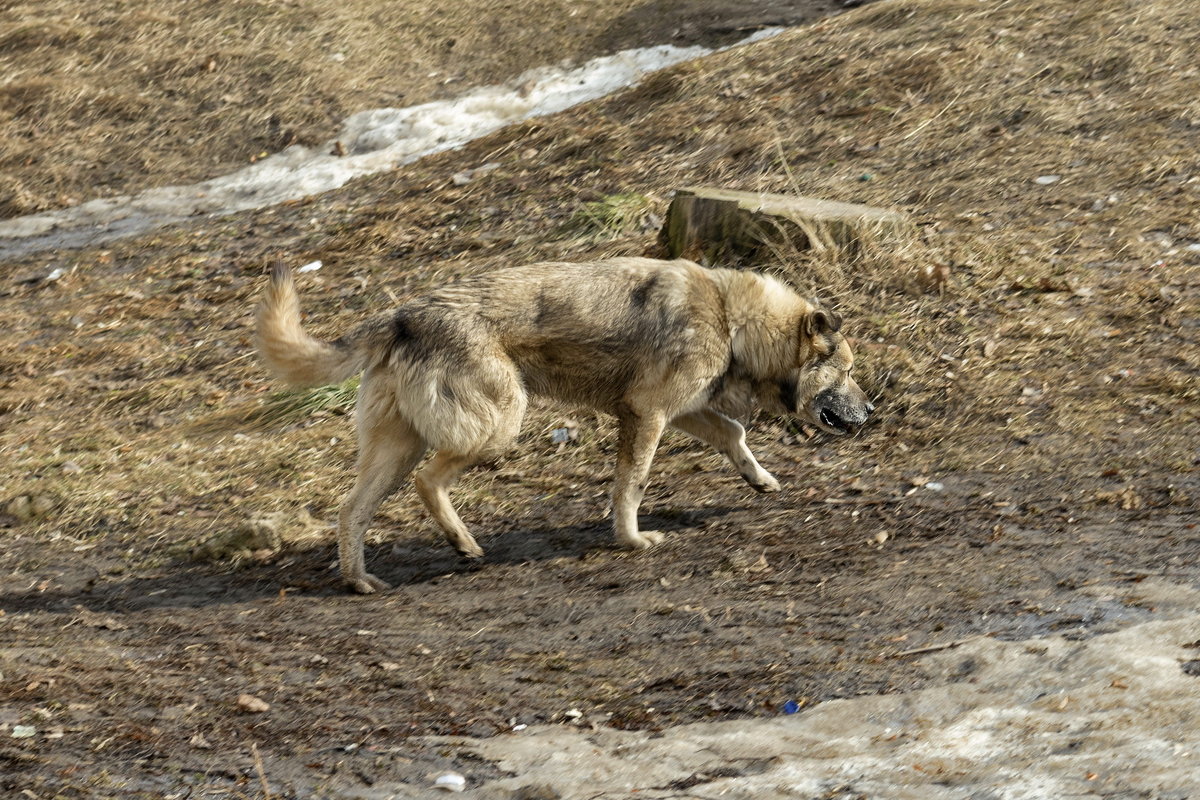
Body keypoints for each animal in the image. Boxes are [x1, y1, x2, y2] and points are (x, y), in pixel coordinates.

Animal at [255, 257, 873, 594]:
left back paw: (362, 581)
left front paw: (761, 481)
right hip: (498, 426)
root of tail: (401, 315)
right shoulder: (647, 415)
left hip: (397, 452)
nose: (872, 412)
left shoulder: (684, 412)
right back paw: (464, 545)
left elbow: (735, 435)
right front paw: (631, 541)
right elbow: (632, 486)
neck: (730, 317)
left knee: (351, 511)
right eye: (848, 372)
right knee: (428, 482)